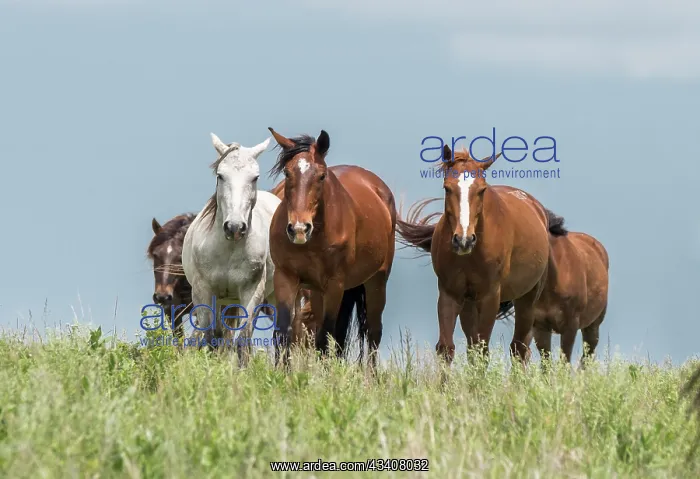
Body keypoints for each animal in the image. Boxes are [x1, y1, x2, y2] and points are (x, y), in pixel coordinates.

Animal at [182, 133, 282, 365]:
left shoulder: (252, 293)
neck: (227, 251)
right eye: (220, 176)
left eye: (254, 177)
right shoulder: (204, 292)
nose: (235, 227)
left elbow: (243, 342)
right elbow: (210, 338)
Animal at [266, 127, 396, 368]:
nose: (299, 229)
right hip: (317, 291)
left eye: (321, 176)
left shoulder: (335, 284)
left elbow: (325, 336)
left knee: (373, 332)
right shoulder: (285, 277)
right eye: (287, 173)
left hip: (376, 281)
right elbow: (284, 332)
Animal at [396, 144, 566, 365]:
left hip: (527, 300)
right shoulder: (450, 294)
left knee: (519, 348)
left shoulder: (490, 297)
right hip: (469, 305)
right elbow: (447, 348)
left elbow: (483, 351)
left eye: (482, 190)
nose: (464, 240)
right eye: (447, 188)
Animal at [496, 227, 609, 365]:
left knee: (588, 353)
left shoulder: (570, 326)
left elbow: (564, 360)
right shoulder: (540, 326)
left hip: (593, 325)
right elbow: (546, 361)